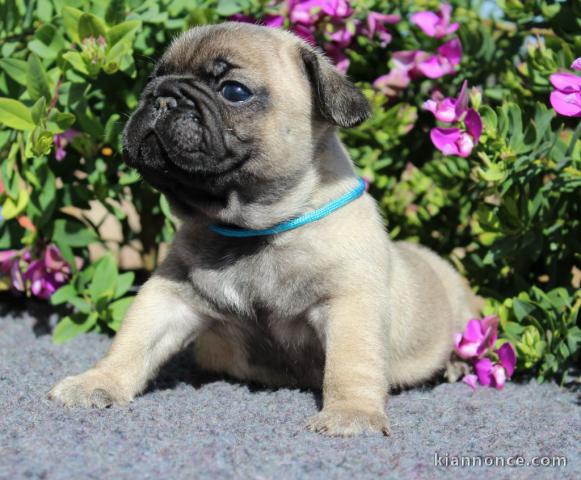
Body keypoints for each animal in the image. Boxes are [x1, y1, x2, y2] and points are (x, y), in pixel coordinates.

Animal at [48, 21, 476, 436]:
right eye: (153, 78)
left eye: (233, 91)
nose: (162, 97)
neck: (253, 228)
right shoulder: (170, 294)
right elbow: (133, 341)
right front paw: (96, 382)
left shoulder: (349, 303)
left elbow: (350, 364)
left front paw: (351, 413)